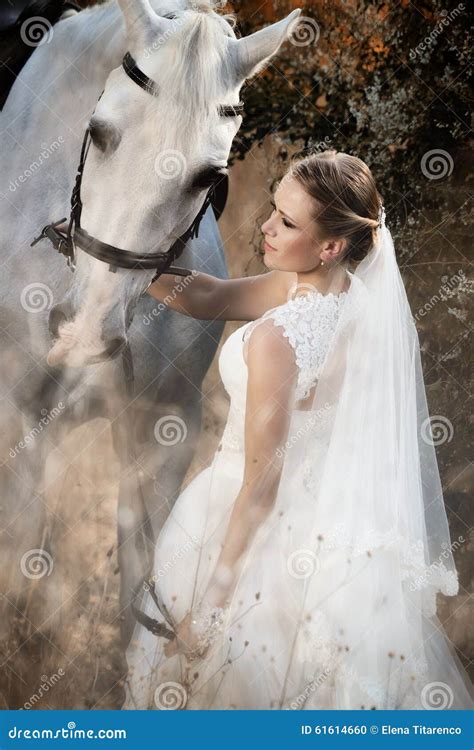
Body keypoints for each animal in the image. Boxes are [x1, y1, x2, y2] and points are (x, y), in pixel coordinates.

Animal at [0, 0, 302, 652]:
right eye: (98, 133)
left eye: (208, 177)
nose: (84, 334)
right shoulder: (19, 421)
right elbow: (21, 556)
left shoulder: (165, 429)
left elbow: (139, 580)